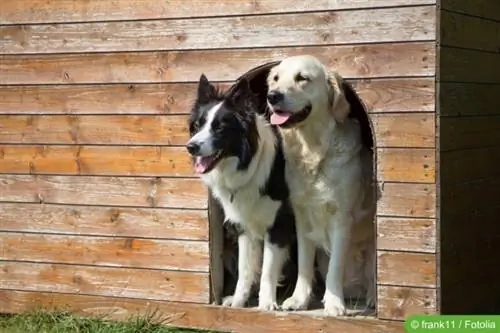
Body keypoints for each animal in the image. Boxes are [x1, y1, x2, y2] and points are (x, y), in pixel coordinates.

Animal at [188, 74, 296, 310]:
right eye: (198, 125)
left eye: (219, 128)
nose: (190, 147)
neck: (248, 166)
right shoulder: (244, 227)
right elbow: (245, 270)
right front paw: (238, 302)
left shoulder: (279, 226)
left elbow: (267, 271)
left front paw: (266, 304)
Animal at [266, 55, 376, 316]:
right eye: (275, 78)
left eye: (302, 78)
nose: (272, 96)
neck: (313, 151)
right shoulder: (302, 216)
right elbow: (304, 264)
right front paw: (299, 299)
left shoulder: (342, 218)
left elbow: (336, 266)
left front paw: (334, 303)